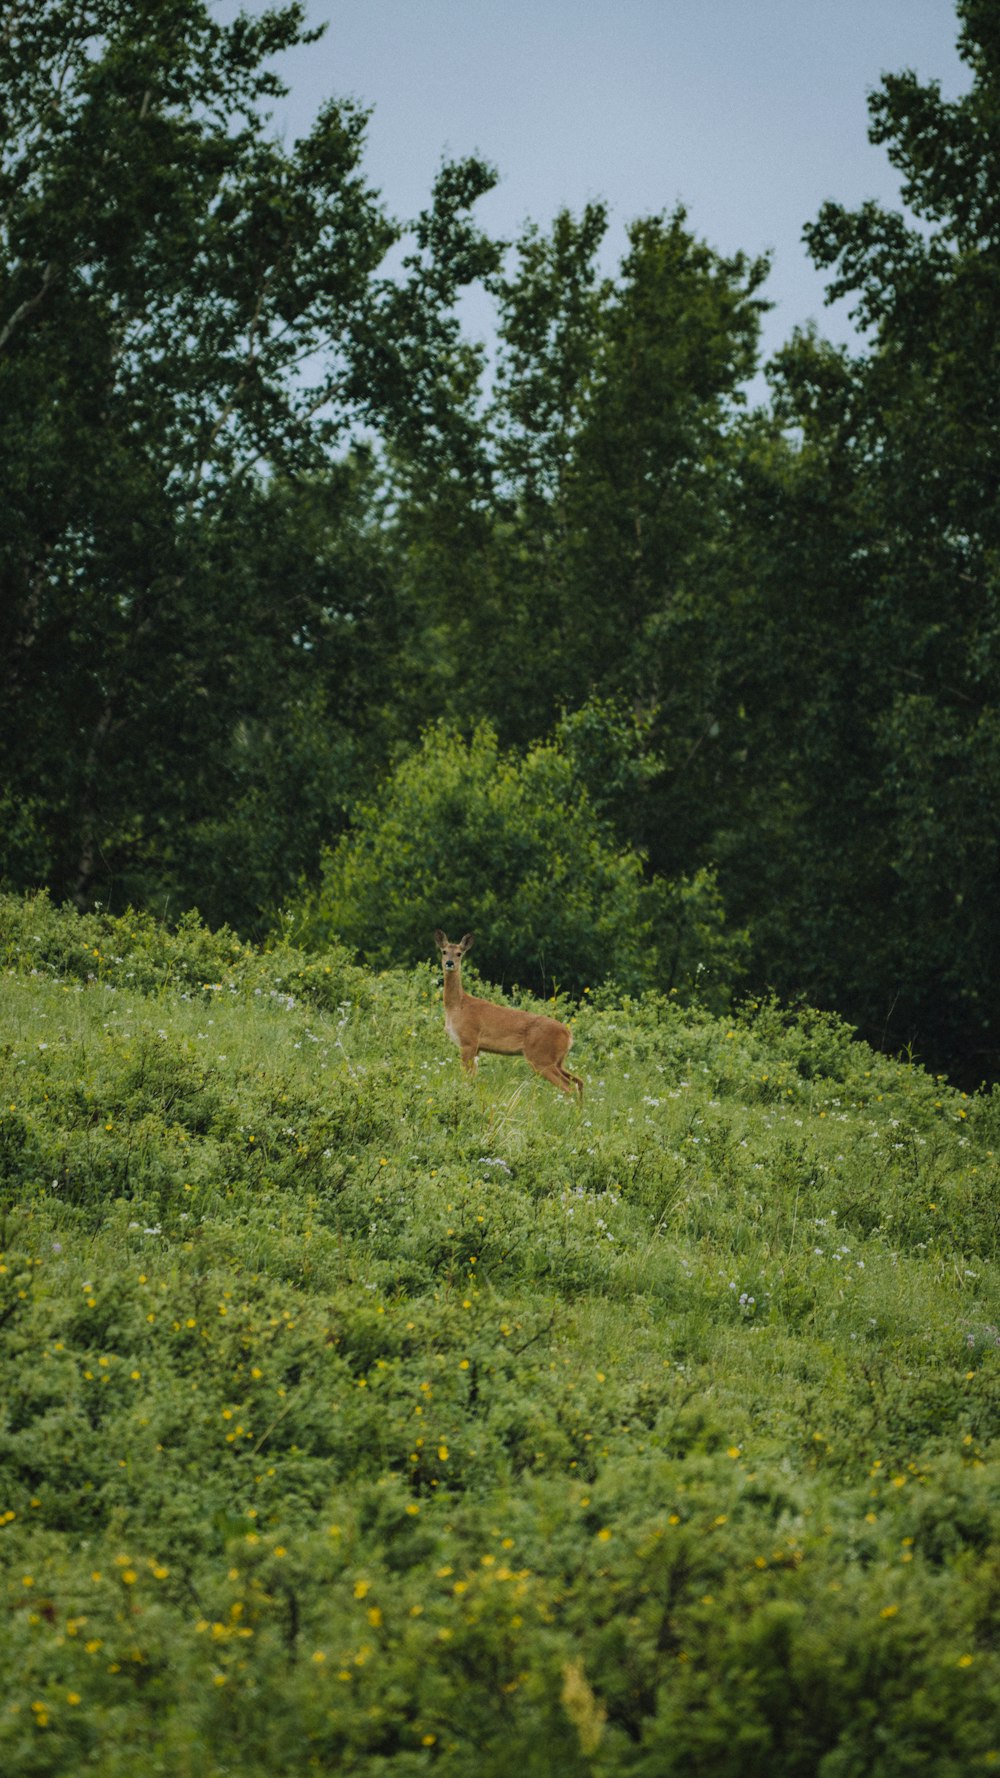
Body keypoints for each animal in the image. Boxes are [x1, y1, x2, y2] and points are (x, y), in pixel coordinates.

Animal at [430, 931, 583, 1095]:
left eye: (459, 953)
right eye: (444, 951)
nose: (449, 963)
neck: (457, 1006)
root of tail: (568, 1035)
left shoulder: (468, 1041)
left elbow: (465, 1078)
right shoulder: (477, 1049)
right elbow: (471, 1078)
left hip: (541, 1058)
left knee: (569, 1087)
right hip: (558, 1060)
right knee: (579, 1081)